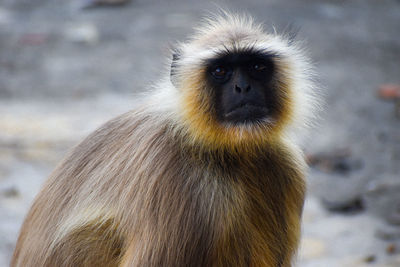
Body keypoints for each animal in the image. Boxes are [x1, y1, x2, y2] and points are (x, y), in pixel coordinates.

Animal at [11, 12, 316, 267]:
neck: (222, 150)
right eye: (220, 71)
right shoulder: (179, 179)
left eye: (256, 66)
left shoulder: (286, 166)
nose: (243, 87)